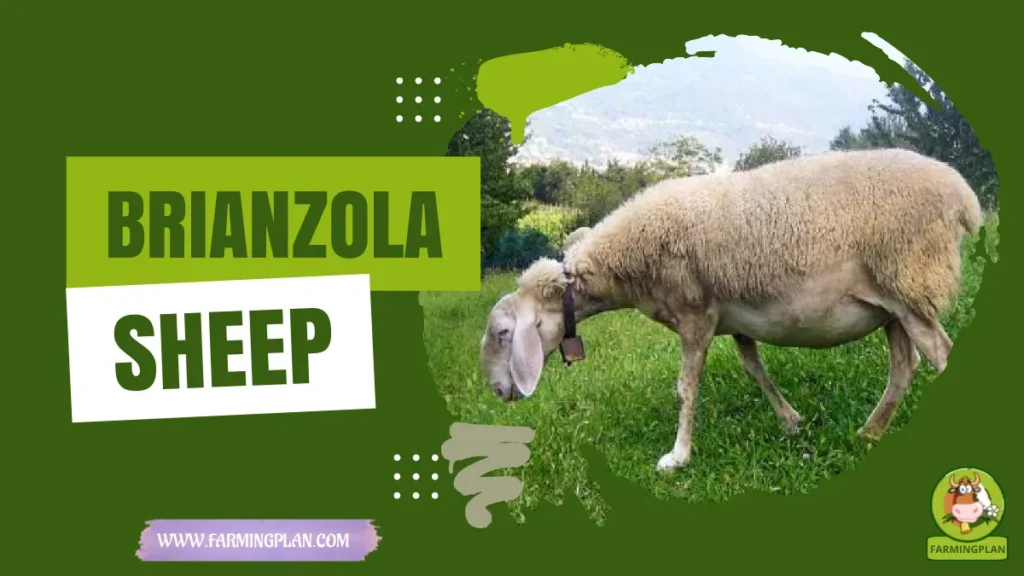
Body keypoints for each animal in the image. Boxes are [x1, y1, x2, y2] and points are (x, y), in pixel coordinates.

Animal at [479, 148, 983, 472]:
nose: (499, 392)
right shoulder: (735, 316)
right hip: (893, 301)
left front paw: (677, 457)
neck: (626, 263)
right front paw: (791, 421)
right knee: (904, 366)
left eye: (503, 333)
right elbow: (753, 367)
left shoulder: (694, 313)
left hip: (910, 282)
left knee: (938, 355)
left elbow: (686, 389)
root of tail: (965, 196)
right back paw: (870, 433)